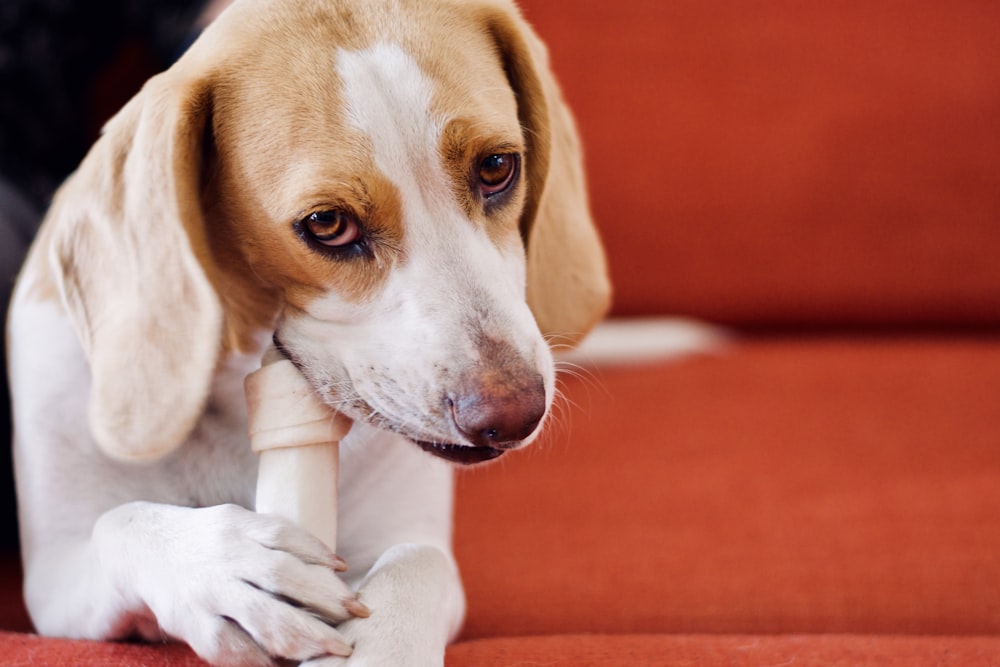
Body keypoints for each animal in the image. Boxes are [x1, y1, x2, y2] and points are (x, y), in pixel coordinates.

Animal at [3, 0, 608, 664]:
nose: (514, 415)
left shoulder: (407, 537)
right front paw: (224, 567)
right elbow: (120, 523)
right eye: (327, 224)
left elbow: (416, 563)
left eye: (497, 167)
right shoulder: (55, 581)